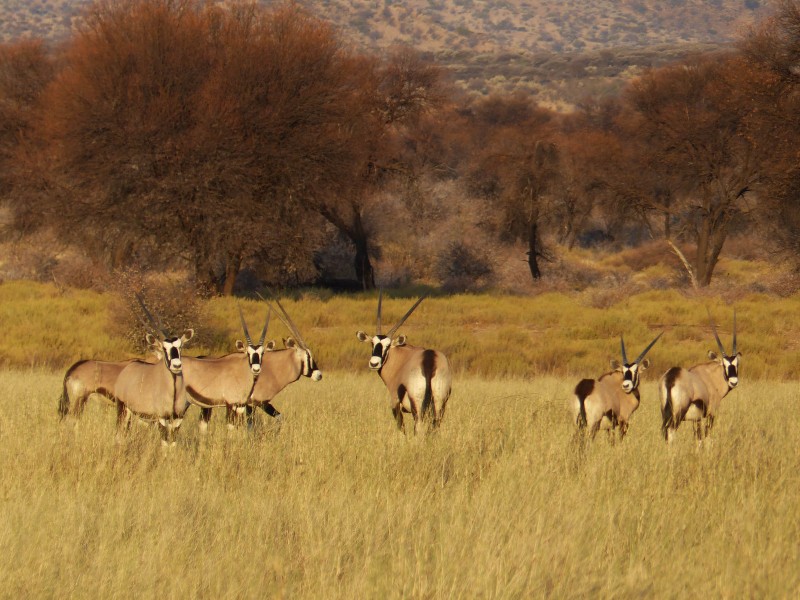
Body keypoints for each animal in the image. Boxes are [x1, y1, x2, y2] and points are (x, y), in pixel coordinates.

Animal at [114, 296, 194, 446]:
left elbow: (172, 443)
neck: (173, 389)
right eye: (164, 348)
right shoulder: (162, 418)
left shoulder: (178, 418)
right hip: (123, 409)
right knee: (120, 435)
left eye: (180, 347)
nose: (176, 365)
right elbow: (164, 443)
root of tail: (128, 368)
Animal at [356, 290, 450, 434]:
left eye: (388, 346)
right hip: (440, 403)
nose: (374, 363)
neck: (400, 358)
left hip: (417, 404)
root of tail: (429, 360)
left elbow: (401, 428)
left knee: (418, 427)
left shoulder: (395, 402)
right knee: (434, 428)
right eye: (372, 343)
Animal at [660, 310, 740, 440]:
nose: (733, 382)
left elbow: (698, 437)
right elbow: (707, 437)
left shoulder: (696, 419)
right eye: (724, 364)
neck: (712, 377)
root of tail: (672, 377)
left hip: (665, 413)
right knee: (671, 431)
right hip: (678, 414)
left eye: (737, 364)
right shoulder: (711, 413)